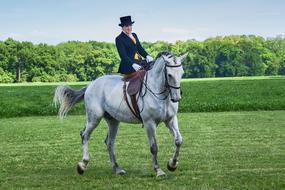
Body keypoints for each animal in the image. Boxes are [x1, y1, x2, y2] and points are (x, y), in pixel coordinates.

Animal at [53, 51, 186, 177]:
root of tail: (91, 85)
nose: (176, 98)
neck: (160, 92)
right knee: (85, 135)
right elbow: (154, 147)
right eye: (169, 75)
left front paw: (172, 165)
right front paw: (159, 170)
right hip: (94, 118)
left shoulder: (170, 120)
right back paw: (82, 165)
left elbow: (178, 140)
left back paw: (117, 168)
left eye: (182, 73)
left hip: (113, 121)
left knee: (109, 142)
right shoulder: (149, 123)